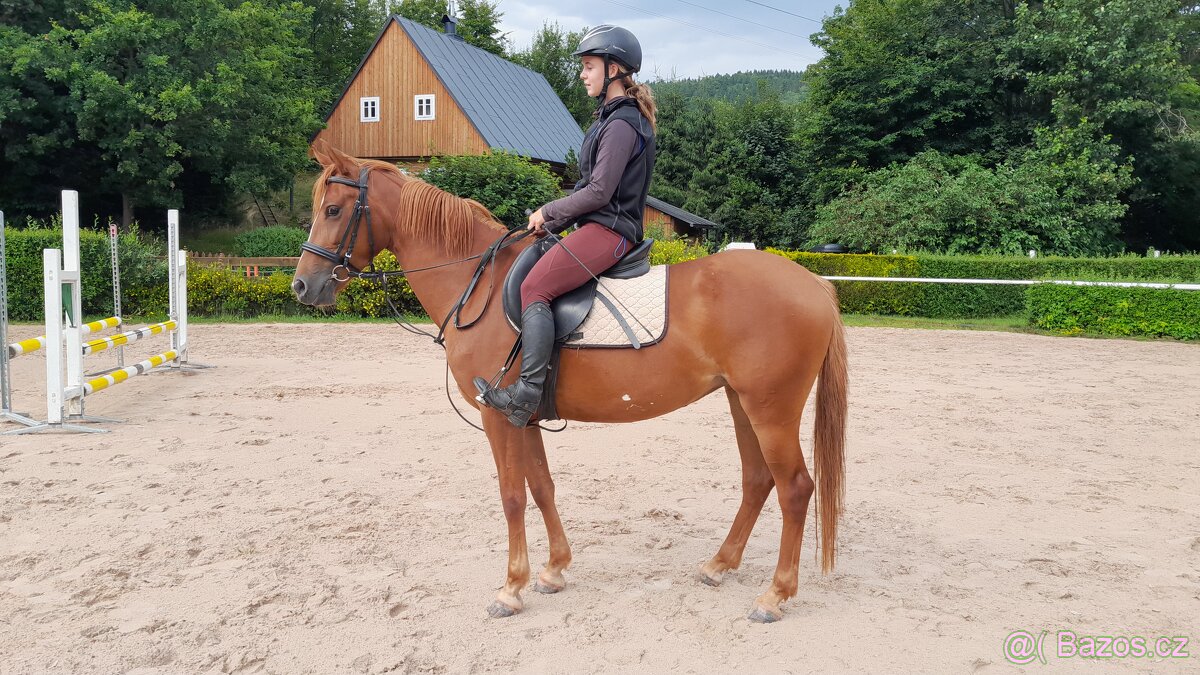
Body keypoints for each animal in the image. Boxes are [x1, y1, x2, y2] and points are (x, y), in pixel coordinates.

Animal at [292, 141, 848, 623]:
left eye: (334, 210)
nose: (302, 285)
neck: (480, 286)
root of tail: (813, 283)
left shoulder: (496, 416)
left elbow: (511, 496)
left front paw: (511, 588)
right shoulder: (524, 414)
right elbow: (541, 487)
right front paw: (554, 570)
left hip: (770, 409)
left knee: (795, 488)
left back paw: (774, 595)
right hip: (742, 402)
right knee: (758, 480)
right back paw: (719, 565)